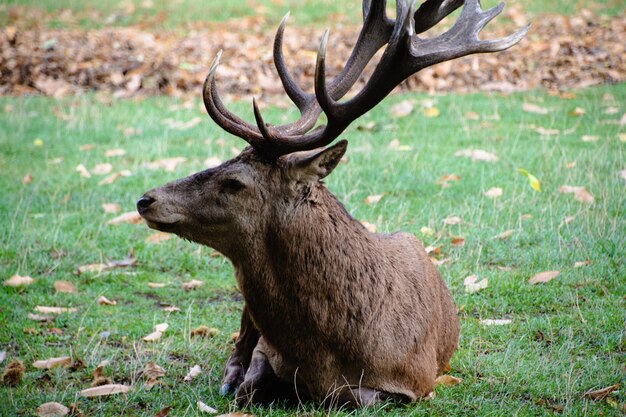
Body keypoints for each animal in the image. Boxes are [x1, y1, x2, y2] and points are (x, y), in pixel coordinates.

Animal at [136, 0, 528, 406]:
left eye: (234, 183)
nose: (146, 199)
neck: (328, 350)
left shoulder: (418, 380)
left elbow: (352, 396)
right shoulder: (267, 349)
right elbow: (252, 383)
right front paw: (246, 382)